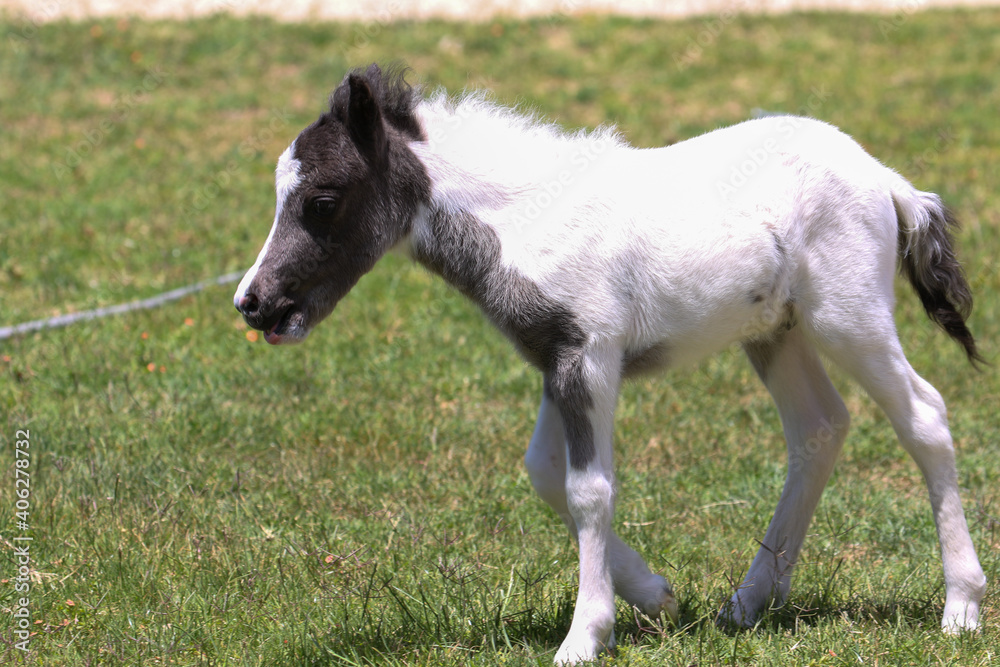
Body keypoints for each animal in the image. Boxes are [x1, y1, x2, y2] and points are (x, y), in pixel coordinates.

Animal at [234, 64, 986, 664]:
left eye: (322, 199)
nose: (253, 302)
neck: (530, 220)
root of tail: (885, 178)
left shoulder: (588, 357)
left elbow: (588, 488)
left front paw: (584, 636)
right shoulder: (556, 357)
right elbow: (545, 473)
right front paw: (658, 596)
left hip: (847, 316)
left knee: (923, 416)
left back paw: (962, 607)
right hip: (776, 331)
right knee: (819, 429)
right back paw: (748, 602)